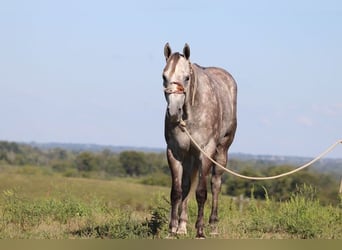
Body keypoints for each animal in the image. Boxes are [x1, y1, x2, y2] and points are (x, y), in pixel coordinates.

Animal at [163, 43, 238, 238]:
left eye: (187, 77)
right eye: (164, 76)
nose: (173, 112)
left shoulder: (206, 152)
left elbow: (201, 193)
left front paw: (200, 231)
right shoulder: (175, 152)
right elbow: (177, 191)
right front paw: (172, 229)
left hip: (220, 152)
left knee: (215, 184)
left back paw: (212, 226)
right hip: (190, 156)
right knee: (187, 185)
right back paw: (182, 226)